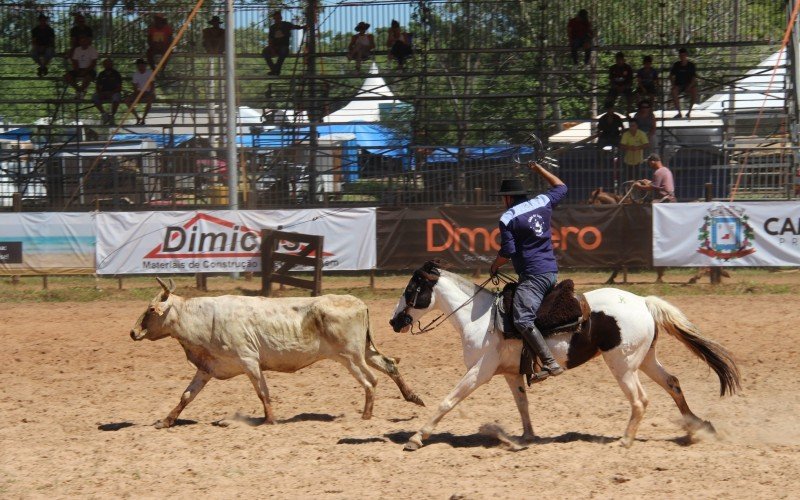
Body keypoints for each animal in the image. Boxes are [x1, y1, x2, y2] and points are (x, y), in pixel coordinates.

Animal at [130, 278, 424, 426]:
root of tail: (360, 304)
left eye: (150, 309)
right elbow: (186, 395)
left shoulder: (249, 361)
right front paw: (166, 421)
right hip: (364, 351)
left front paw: (269, 420)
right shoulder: (207, 368)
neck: (206, 319)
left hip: (350, 357)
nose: (133, 332)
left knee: (370, 381)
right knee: (389, 365)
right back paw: (413, 397)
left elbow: (263, 392)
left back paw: (365, 417)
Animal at [390, 264, 740, 452]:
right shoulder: (511, 373)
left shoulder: (480, 371)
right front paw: (527, 436)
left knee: (640, 400)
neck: (481, 318)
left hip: (623, 365)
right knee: (673, 383)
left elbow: (447, 401)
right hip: (645, 360)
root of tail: (643, 302)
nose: (394, 321)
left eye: (411, 290)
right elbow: (522, 404)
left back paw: (625, 441)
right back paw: (694, 428)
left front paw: (416, 438)